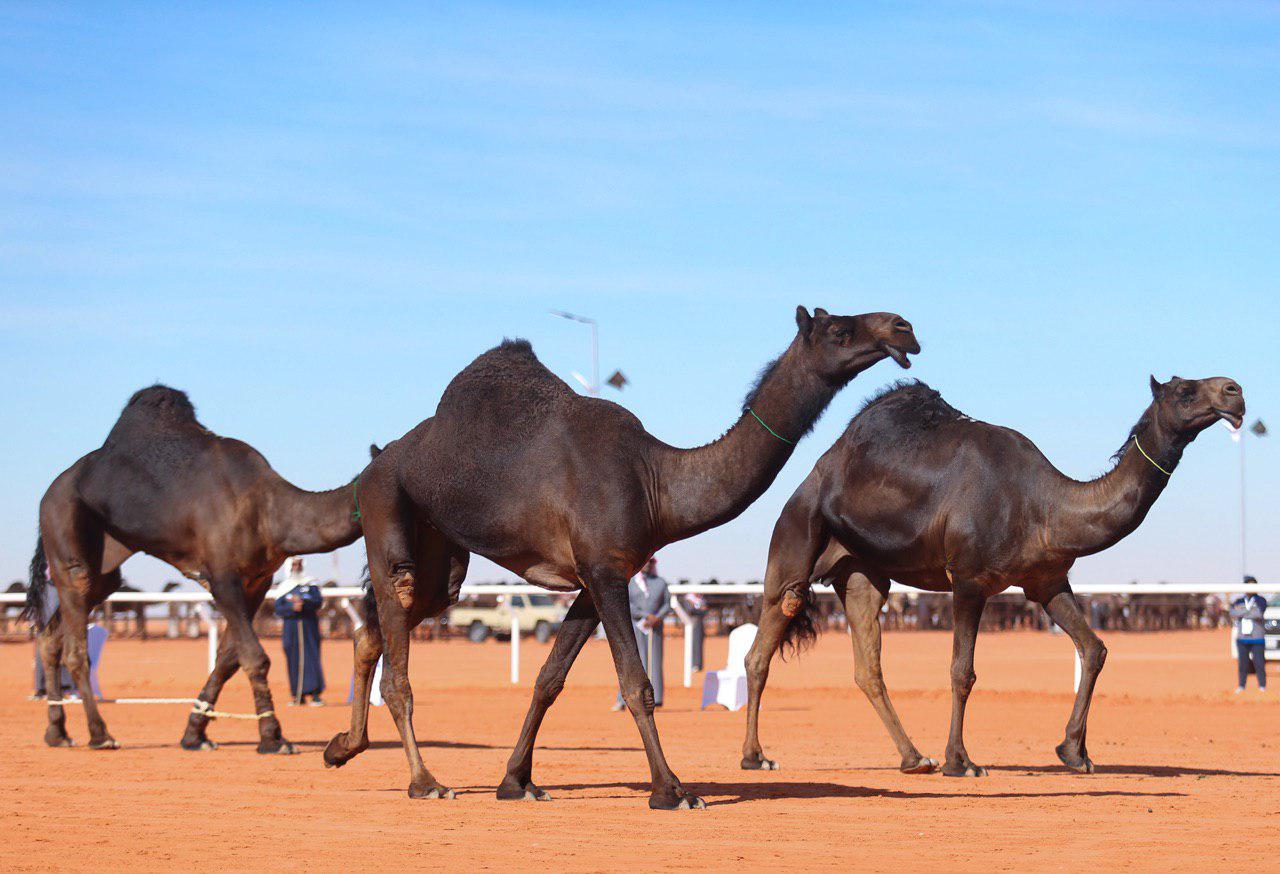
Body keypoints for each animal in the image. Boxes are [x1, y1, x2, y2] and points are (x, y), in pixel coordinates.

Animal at [24, 386, 366, 757]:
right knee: (75, 644)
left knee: (51, 638)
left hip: (106, 567)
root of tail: (46, 494)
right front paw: (273, 738)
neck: (269, 508)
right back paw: (100, 735)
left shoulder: (258, 581)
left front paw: (195, 734)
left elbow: (228, 657)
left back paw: (57, 732)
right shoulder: (222, 576)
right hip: (65, 533)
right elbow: (254, 657)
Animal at [325, 309, 916, 813]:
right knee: (396, 636)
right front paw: (671, 790)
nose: (903, 328)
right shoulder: (606, 572)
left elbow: (549, 678)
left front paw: (516, 781)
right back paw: (424, 782)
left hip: (441, 552)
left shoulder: (595, 577)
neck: (657, 480)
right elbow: (637, 684)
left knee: (378, 625)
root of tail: (376, 461)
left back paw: (342, 747)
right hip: (384, 505)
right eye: (838, 329)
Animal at [742, 376, 1239, 778]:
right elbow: (962, 671)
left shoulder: (1047, 581)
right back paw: (756, 757)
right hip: (794, 537)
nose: (1234, 391)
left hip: (863, 572)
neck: (1045, 505)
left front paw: (1074, 752)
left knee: (867, 667)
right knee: (764, 644)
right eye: (1185, 390)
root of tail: (812, 477)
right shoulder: (968, 579)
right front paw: (960, 761)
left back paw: (913, 758)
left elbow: (1094, 649)